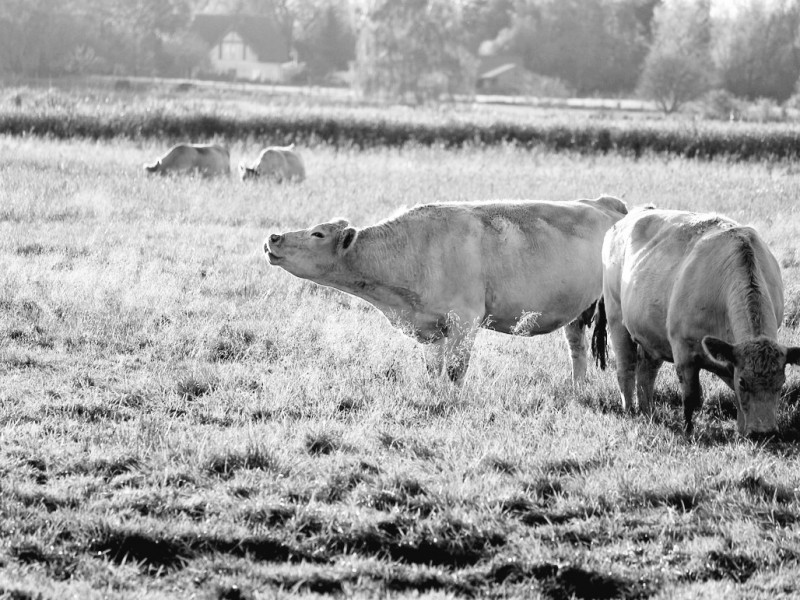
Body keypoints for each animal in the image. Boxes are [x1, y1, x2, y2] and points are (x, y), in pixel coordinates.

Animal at [266, 197, 628, 384]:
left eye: (318, 234)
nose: (273, 237)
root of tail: (604, 204)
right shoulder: (430, 328)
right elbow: (434, 370)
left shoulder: (465, 321)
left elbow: (455, 371)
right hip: (578, 315)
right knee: (577, 351)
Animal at [604, 206, 796, 436]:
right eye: (743, 382)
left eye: (781, 383)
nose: (764, 432)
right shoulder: (683, 351)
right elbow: (691, 397)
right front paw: (688, 431)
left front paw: (741, 431)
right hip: (616, 317)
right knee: (626, 368)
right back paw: (629, 411)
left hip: (651, 335)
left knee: (646, 372)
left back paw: (647, 411)